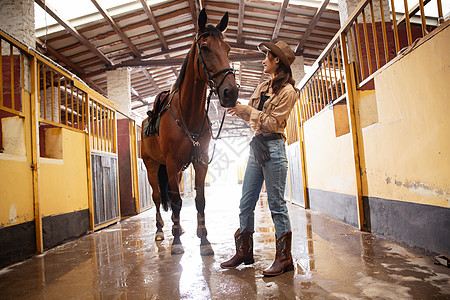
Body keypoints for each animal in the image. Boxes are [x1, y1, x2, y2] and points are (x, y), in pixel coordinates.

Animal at [141, 8, 239, 254]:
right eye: (204, 48)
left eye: (228, 48)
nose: (230, 93)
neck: (188, 114)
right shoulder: (173, 162)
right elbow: (176, 201)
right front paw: (176, 242)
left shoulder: (199, 161)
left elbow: (200, 199)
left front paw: (204, 239)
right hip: (153, 166)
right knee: (157, 197)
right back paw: (161, 231)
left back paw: (180, 228)